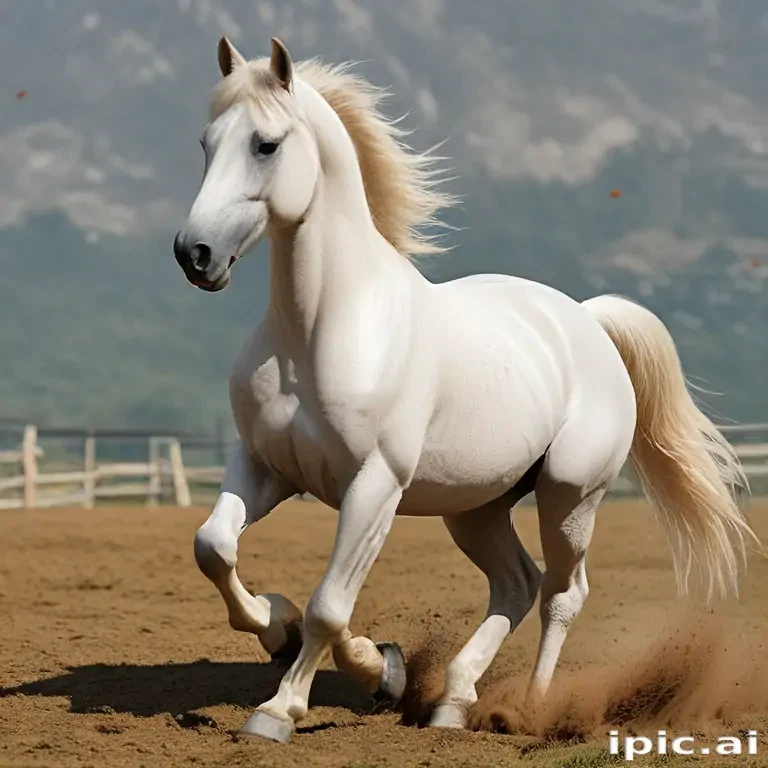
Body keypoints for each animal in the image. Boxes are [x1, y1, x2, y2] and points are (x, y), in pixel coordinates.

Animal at [172, 36, 759, 743]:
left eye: (266, 144)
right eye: (206, 143)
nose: (194, 254)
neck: (318, 332)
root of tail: (588, 321)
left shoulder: (374, 486)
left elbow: (330, 606)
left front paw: (279, 710)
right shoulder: (265, 468)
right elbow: (215, 549)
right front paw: (319, 645)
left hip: (569, 498)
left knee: (563, 593)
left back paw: (528, 710)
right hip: (475, 508)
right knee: (516, 585)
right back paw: (452, 701)